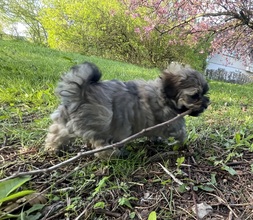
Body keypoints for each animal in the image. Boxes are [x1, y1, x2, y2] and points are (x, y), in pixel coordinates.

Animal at [44, 61, 210, 159]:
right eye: (195, 96)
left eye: (205, 92)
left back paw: (53, 148)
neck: (163, 95)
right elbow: (181, 132)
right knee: (101, 146)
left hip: (66, 121)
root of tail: (80, 94)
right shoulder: (171, 123)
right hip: (102, 124)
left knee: (57, 132)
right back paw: (115, 154)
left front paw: (156, 140)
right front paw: (182, 143)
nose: (207, 103)